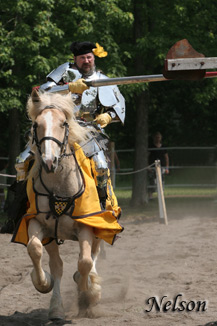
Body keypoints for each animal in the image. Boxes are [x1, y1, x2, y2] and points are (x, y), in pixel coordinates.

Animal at [15, 90, 113, 320]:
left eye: (63, 123)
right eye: (37, 124)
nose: (50, 161)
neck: (59, 185)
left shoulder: (87, 226)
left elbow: (85, 262)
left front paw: (89, 290)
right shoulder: (40, 225)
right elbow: (36, 251)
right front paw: (43, 283)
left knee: (93, 255)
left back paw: (90, 291)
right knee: (59, 265)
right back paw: (57, 307)